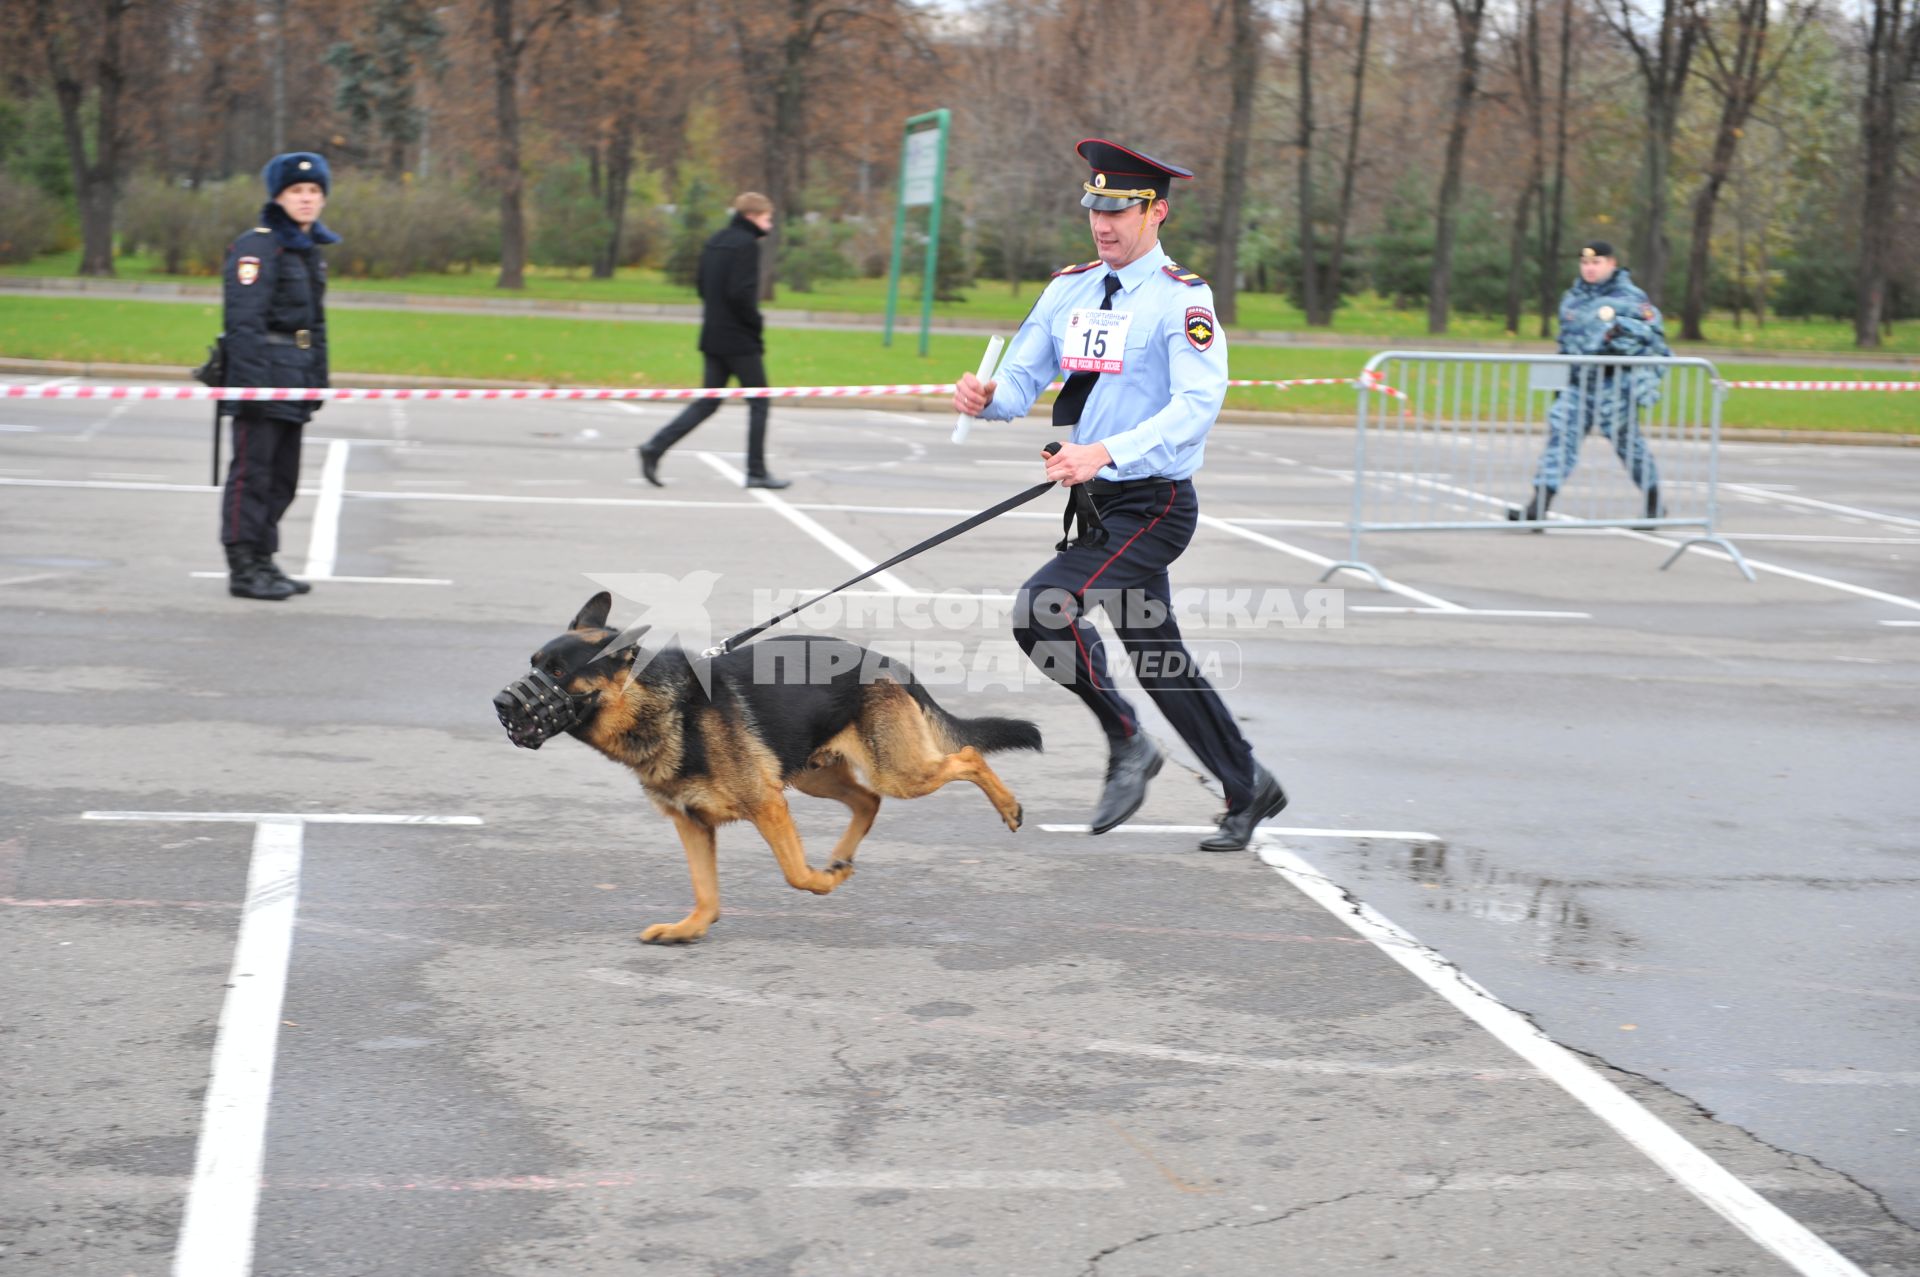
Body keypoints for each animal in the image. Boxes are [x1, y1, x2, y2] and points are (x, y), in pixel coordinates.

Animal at [491, 591, 1036, 940]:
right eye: (534, 663)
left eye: (558, 671)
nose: (500, 704)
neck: (658, 705)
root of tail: (891, 663)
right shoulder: (692, 824)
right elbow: (706, 892)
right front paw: (690, 929)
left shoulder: (767, 806)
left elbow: (795, 874)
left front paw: (822, 883)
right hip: (816, 773)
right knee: (868, 800)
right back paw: (841, 857)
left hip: (897, 772)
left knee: (965, 757)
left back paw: (1008, 807)